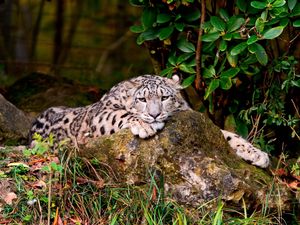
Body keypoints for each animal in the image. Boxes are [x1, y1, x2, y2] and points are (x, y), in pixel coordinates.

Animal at [28, 74, 270, 168]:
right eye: (142, 99)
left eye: (164, 97)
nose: (154, 114)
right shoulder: (101, 113)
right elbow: (119, 114)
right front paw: (145, 125)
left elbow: (226, 134)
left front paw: (257, 154)